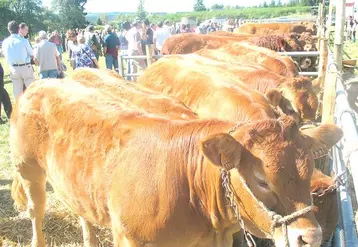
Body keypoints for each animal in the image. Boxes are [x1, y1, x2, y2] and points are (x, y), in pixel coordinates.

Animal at [10, 80, 342, 246]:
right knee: (35, 211)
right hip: (29, 169)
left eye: (308, 173)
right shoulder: (129, 238)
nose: (310, 238)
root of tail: (39, 84)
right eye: (262, 180)